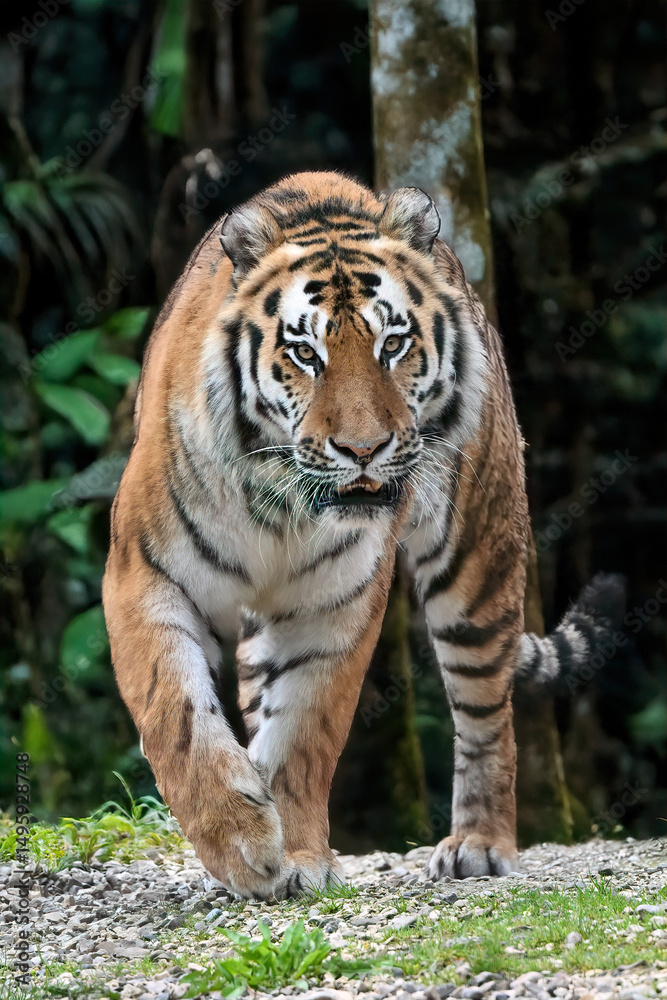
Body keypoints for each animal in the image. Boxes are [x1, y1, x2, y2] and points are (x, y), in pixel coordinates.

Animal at [102, 170, 621, 898]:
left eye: (392, 345)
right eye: (304, 354)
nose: (363, 450)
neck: (281, 502)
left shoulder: (334, 605)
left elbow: (305, 732)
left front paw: (293, 854)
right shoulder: (145, 575)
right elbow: (176, 717)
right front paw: (242, 841)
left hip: (476, 562)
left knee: (487, 717)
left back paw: (479, 845)